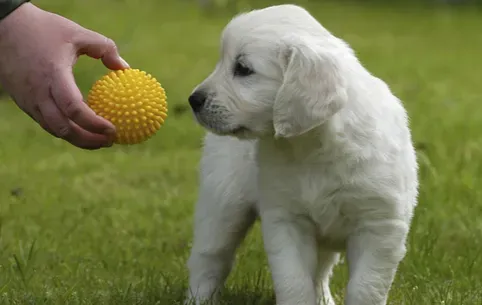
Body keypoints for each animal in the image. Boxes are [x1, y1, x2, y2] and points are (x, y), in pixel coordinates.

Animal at [185, 4, 418, 304]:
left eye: (243, 69)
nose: (193, 100)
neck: (313, 147)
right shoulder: (286, 219)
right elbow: (293, 281)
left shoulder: (380, 225)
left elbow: (366, 287)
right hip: (223, 202)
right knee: (210, 258)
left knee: (320, 271)